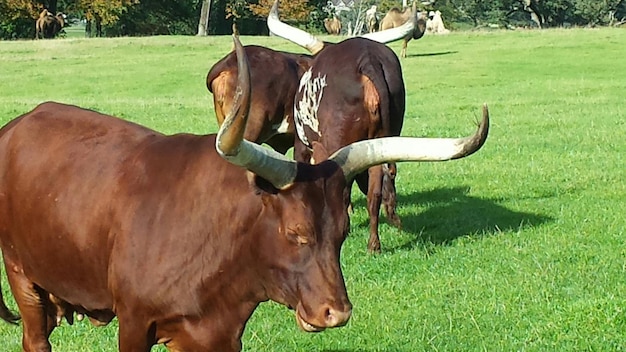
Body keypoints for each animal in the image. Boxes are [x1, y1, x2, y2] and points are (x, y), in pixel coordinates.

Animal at [0, 35, 488, 350]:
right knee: (35, 339)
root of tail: (18, 124)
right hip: (22, 276)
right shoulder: (135, 323)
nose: (337, 314)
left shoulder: (217, 335)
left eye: (342, 234)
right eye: (295, 233)